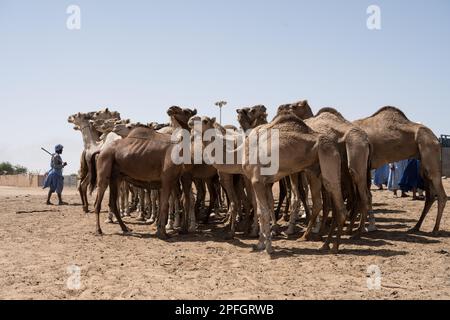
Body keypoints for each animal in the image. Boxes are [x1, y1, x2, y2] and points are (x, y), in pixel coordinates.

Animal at [356, 106, 446, 234]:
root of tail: (436, 139)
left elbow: (363, 196)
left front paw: (364, 228)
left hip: (430, 151)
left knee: (441, 194)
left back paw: (435, 230)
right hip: (423, 161)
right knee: (431, 195)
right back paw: (416, 227)